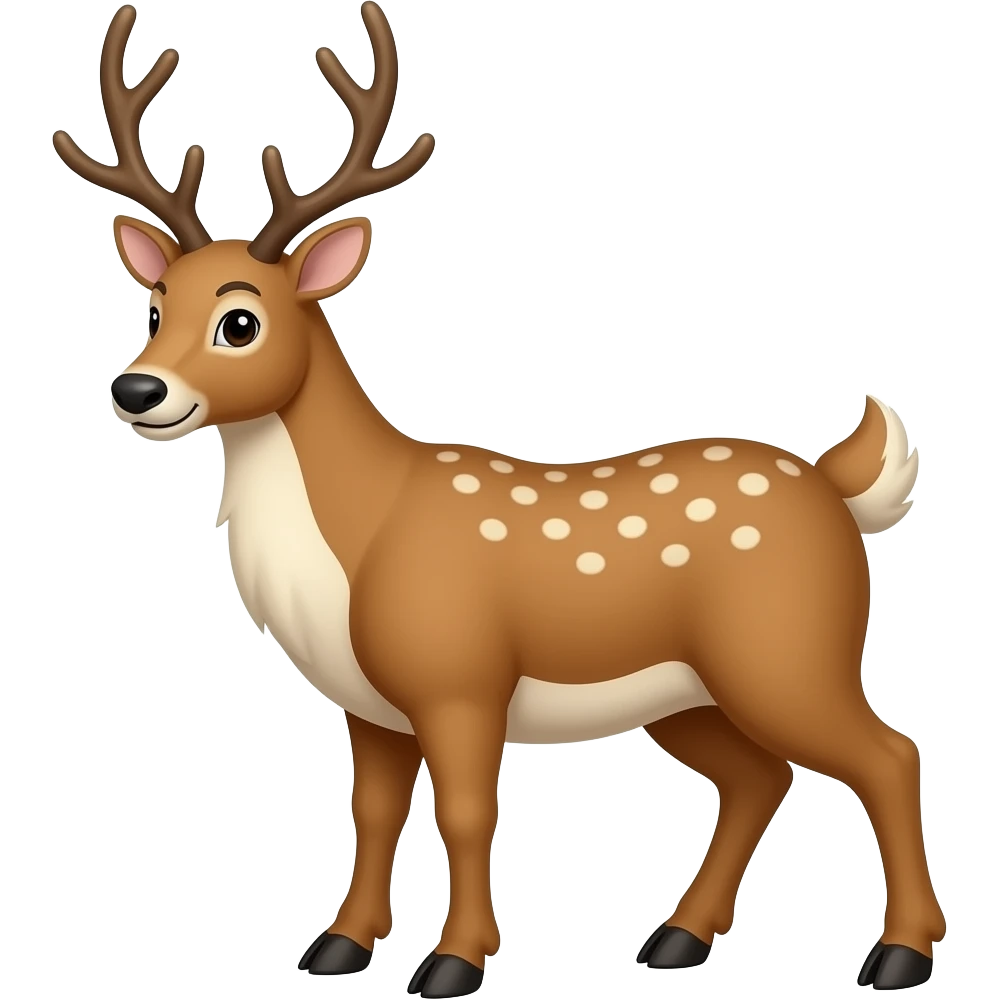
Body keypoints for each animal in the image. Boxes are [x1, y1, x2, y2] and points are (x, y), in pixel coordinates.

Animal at [52, 3, 945, 995]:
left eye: (239, 320)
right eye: (155, 303)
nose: (137, 391)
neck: (362, 537)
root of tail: (835, 486)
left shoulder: (460, 674)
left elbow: (469, 811)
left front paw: (454, 963)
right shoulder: (370, 705)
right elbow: (372, 810)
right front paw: (341, 945)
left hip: (788, 649)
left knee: (888, 754)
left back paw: (899, 954)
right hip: (689, 693)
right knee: (760, 777)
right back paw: (676, 940)